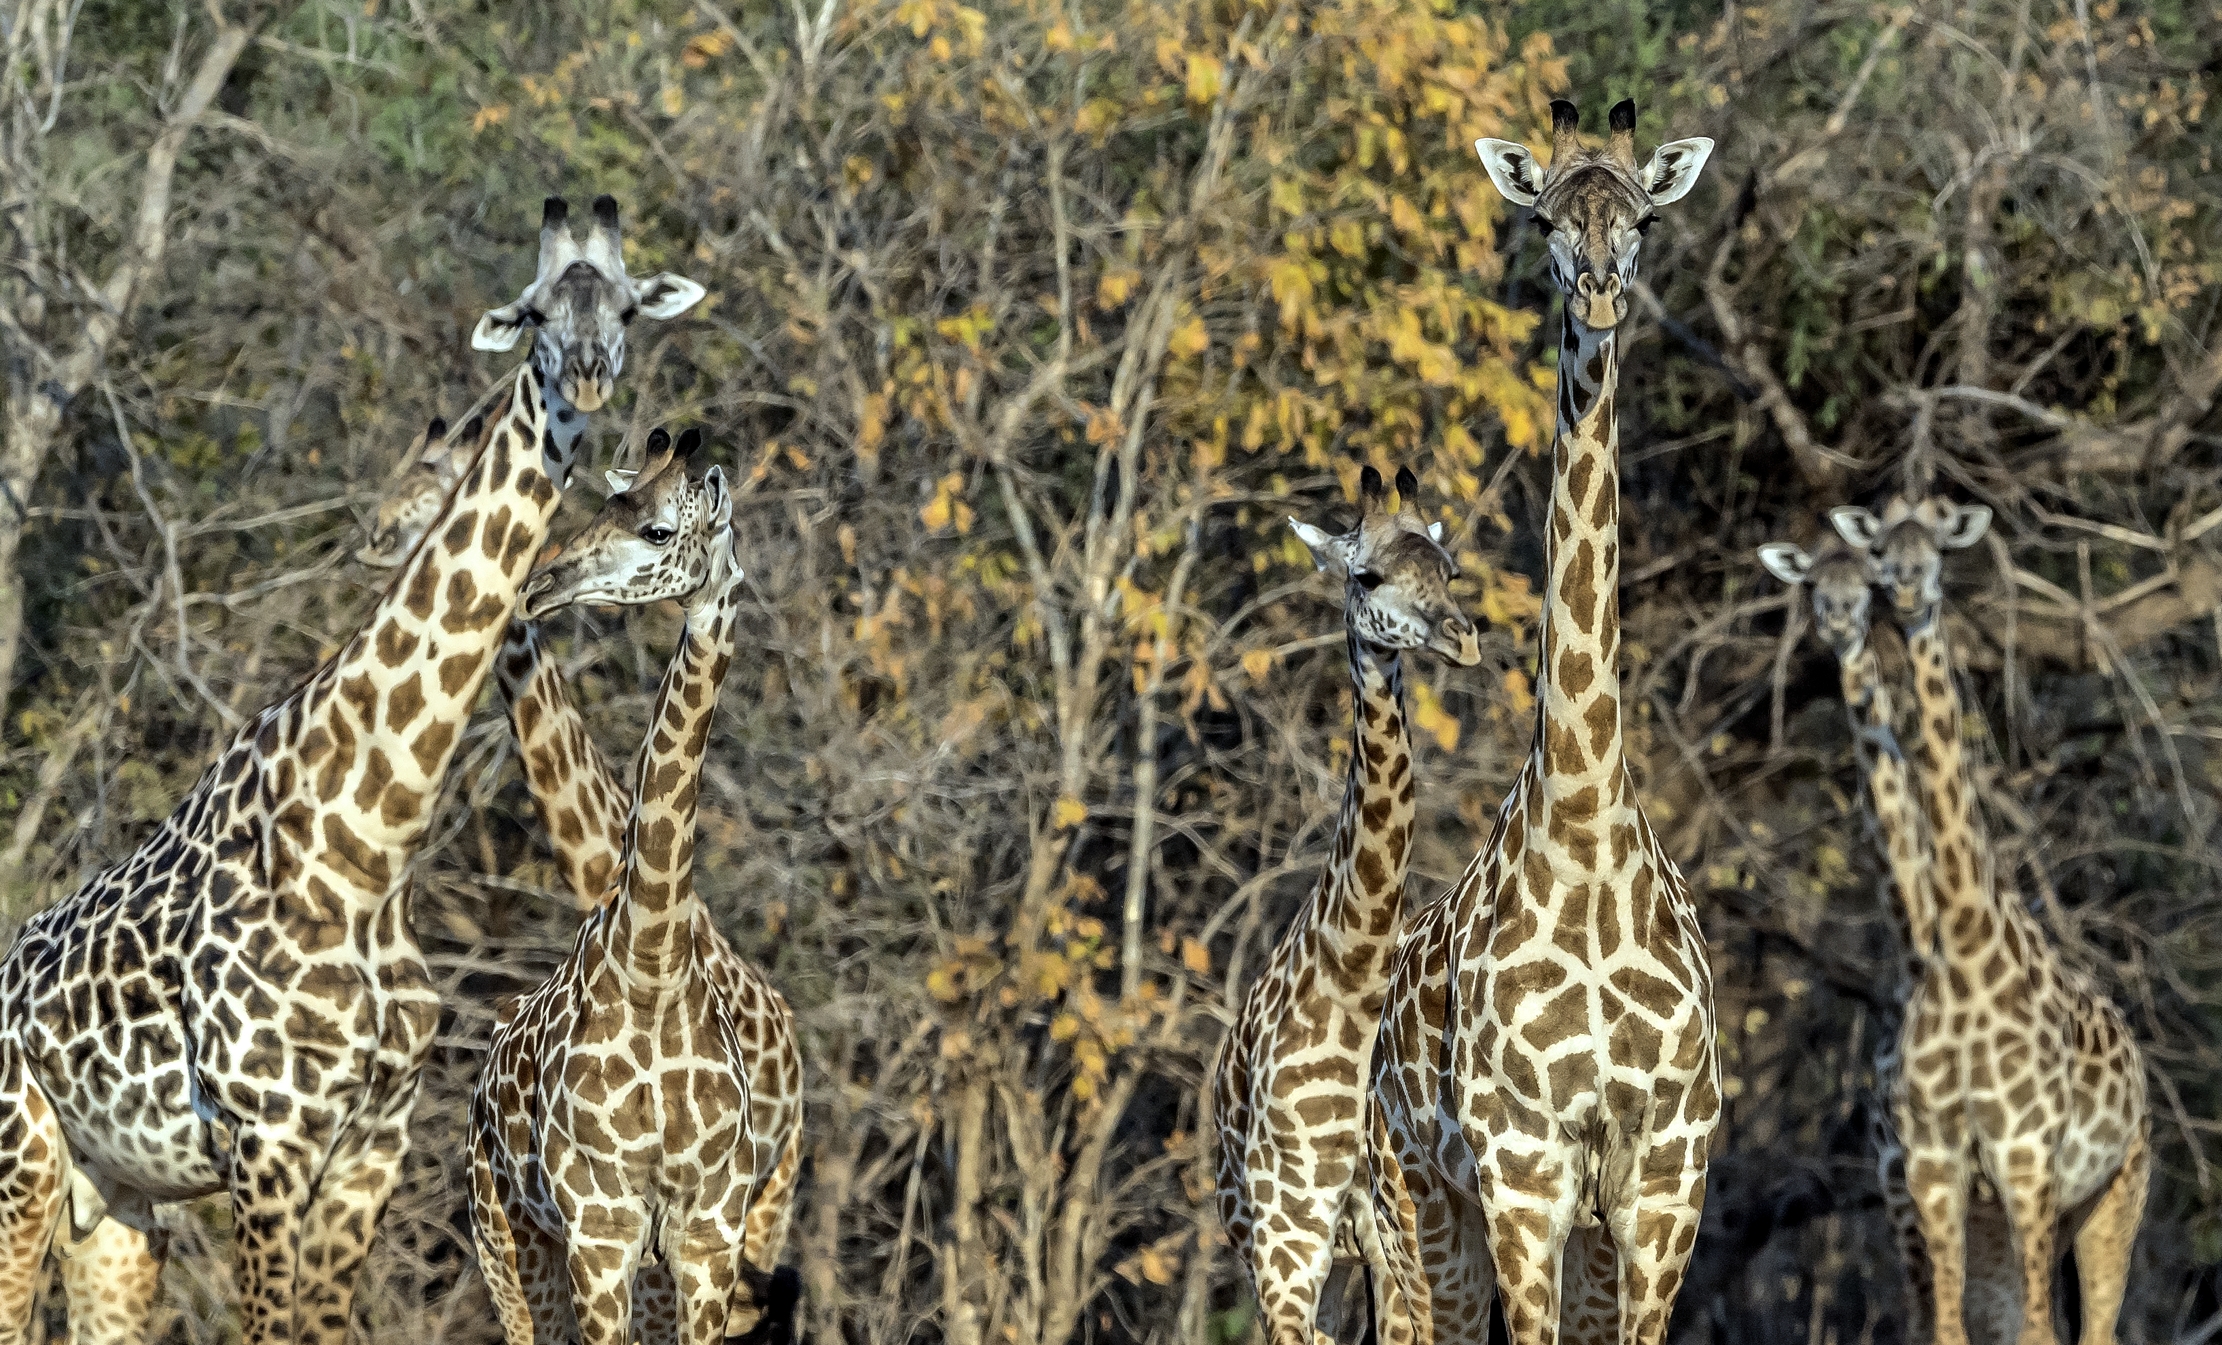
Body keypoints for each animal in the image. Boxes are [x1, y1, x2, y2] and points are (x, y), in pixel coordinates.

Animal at [488, 430, 803, 1344]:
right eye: (604, 503)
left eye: (659, 529)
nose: (540, 581)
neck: (655, 965)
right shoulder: (602, 1232)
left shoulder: (707, 1237)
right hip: (509, 1240)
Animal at [1208, 464, 1480, 1345]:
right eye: (1367, 576)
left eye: (1449, 568)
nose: (1463, 637)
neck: (1351, 972)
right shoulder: (1286, 1226)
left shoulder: (1386, 1226)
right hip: (1267, 1234)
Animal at [1367, 97, 1717, 1345]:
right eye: (1543, 217)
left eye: (1645, 216)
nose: (1599, 293)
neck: (1581, 813)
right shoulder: (1521, 1171)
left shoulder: (1662, 1173)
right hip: (1414, 1207)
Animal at [1831, 497, 2149, 1345]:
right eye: (1881, 546)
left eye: (1941, 539)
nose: (1904, 589)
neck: (1958, 940)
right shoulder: (1930, 1166)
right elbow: (1943, 1327)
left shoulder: (2023, 1151)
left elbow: (2036, 1330)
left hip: (2115, 1190)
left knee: (2089, 1326)